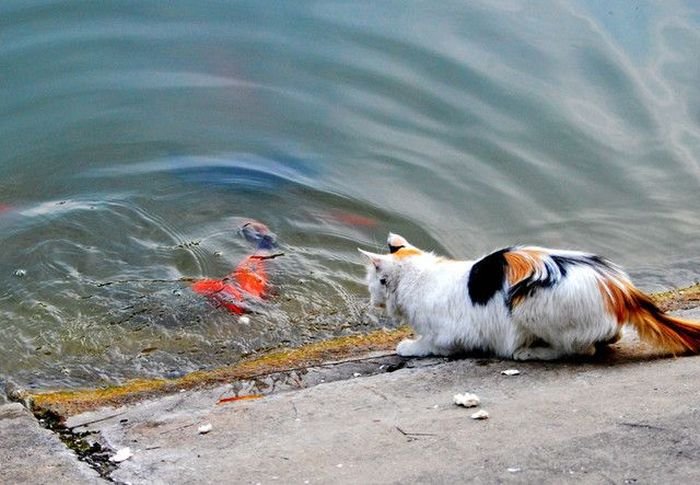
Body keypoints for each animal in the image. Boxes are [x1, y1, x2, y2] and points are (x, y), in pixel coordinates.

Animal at [360, 231, 700, 360]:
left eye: (372, 283)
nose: (371, 301)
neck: (420, 276)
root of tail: (621, 288)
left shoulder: (449, 334)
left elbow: (428, 344)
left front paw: (408, 346)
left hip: (526, 304)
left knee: (580, 350)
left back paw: (528, 352)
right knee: (608, 338)